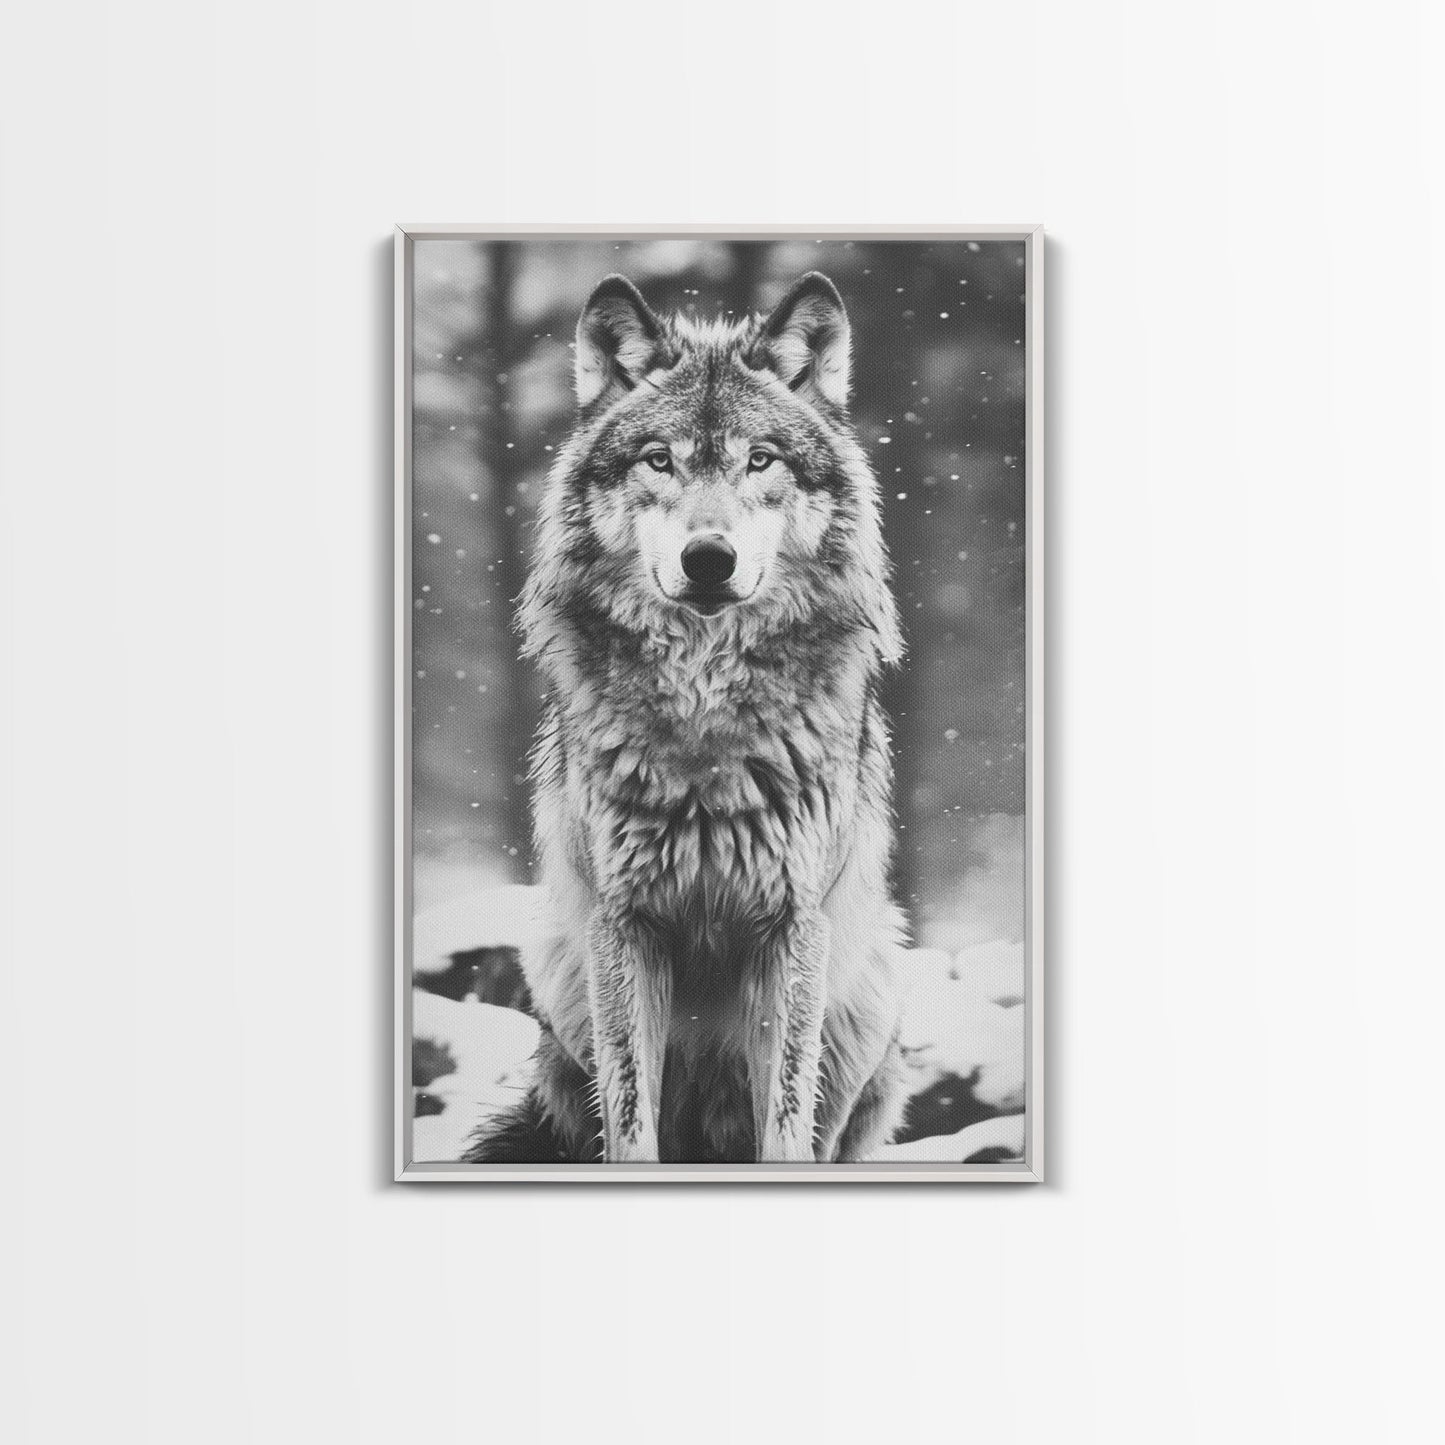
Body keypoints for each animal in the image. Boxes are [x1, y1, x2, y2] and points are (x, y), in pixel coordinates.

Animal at [465, 270, 908, 1164]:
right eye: (659, 459)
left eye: (760, 458)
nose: (709, 559)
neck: (706, 709)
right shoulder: (624, 924)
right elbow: (630, 1122)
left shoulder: (790, 926)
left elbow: (785, 1123)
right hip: (558, 966)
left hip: (873, 978)